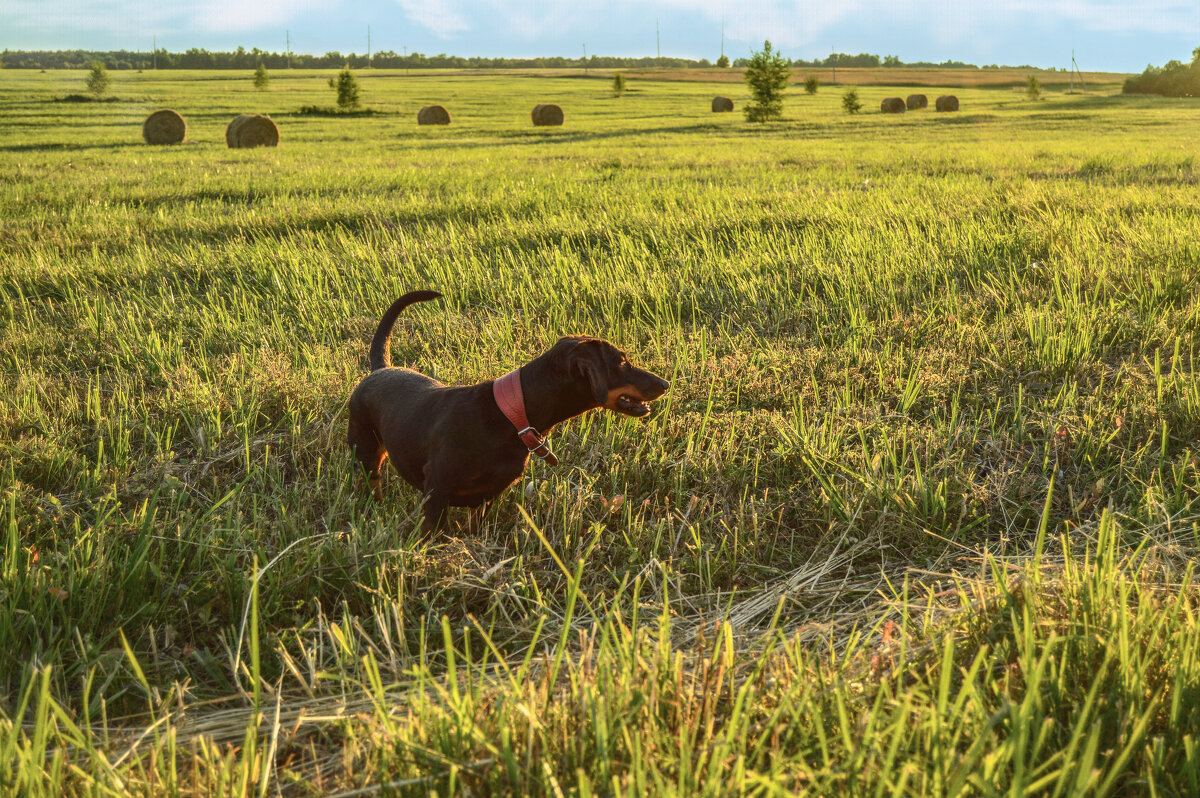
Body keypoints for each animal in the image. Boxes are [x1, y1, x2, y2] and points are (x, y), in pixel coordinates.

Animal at [348, 289, 672, 532]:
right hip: (365, 451)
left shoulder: (485, 498)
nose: (666, 383)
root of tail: (381, 368)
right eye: (621, 362)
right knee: (370, 480)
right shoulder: (437, 488)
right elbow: (434, 532)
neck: (510, 415)